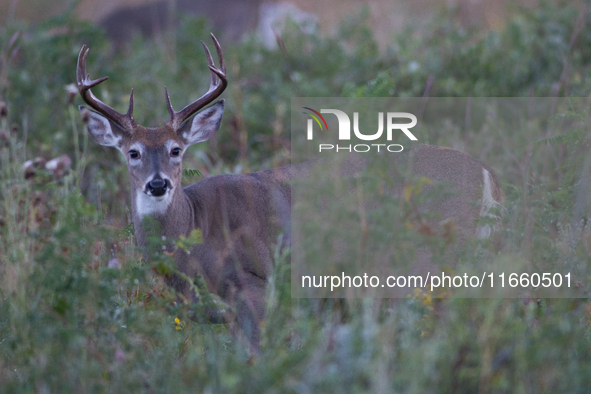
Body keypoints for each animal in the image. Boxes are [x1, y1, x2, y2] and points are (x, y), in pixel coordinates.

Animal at [77, 33, 504, 346]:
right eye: (132, 152)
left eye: (175, 149)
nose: (157, 183)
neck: (194, 236)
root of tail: (488, 176)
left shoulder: (256, 288)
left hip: (429, 260)